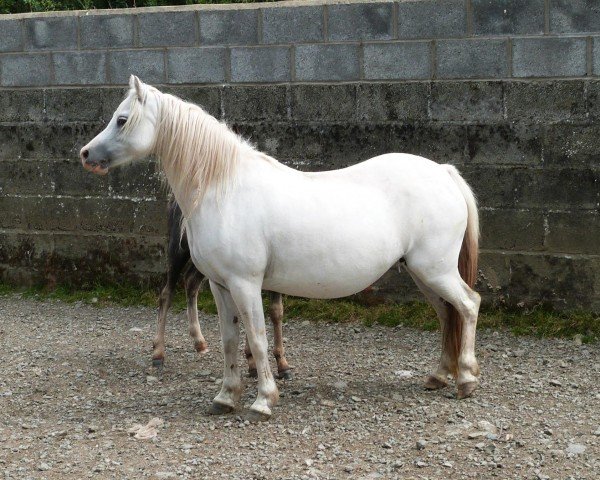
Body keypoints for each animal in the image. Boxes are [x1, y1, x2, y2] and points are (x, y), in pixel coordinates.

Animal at [81, 75, 482, 420]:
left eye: (121, 119)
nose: (86, 154)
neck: (222, 188)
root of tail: (443, 172)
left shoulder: (245, 284)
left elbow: (257, 339)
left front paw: (263, 400)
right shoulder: (220, 285)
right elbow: (229, 340)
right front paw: (225, 397)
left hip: (435, 271)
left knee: (467, 305)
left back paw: (465, 379)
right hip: (423, 275)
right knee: (447, 315)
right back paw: (437, 376)